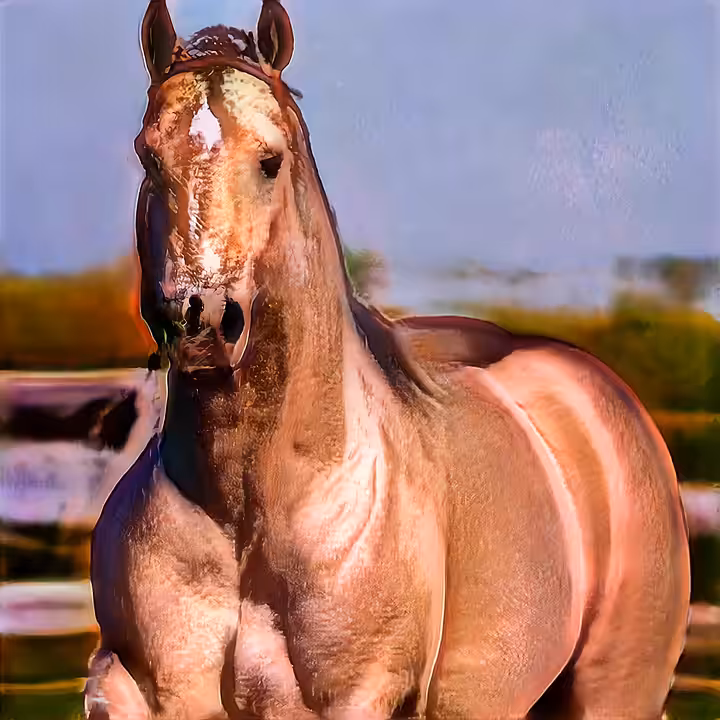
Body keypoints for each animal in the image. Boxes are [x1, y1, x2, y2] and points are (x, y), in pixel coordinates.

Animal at [84, 1, 691, 718]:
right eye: (148, 156)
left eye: (270, 161)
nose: (200, 319)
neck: (249, 512)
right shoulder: (141, 689)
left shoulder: (361, 697)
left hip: (616, 692)